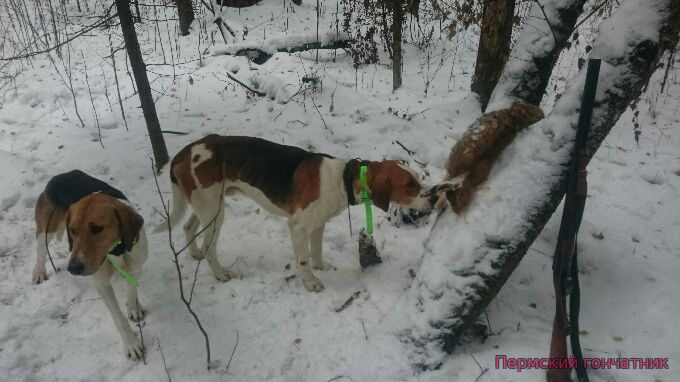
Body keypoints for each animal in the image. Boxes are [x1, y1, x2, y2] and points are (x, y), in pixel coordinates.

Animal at [33, 170, 147, 362]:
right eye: (72, 230)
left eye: (97, 229)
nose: (73, 269)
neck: (115, 250)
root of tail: (59, 176)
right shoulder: (102, 284)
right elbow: (118, 318)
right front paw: (131, 344)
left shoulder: (135, 266)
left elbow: (131, 292)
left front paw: (133, 308)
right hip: (47, 229)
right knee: (40, 249)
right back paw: (39, 272)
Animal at [159, 136, 454, 290]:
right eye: (410, 186)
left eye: (417, 181)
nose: (435, 198)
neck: (345, 179)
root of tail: (185, 151)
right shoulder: (299, 226)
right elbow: (302, 260)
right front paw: (310, 281)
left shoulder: (318, 224)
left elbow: (317, 251)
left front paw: (321, 267)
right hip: (214, 213)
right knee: (209, 246)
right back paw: (219, 273)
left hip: (208, 205)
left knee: (187, 227)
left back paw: (194, 253)